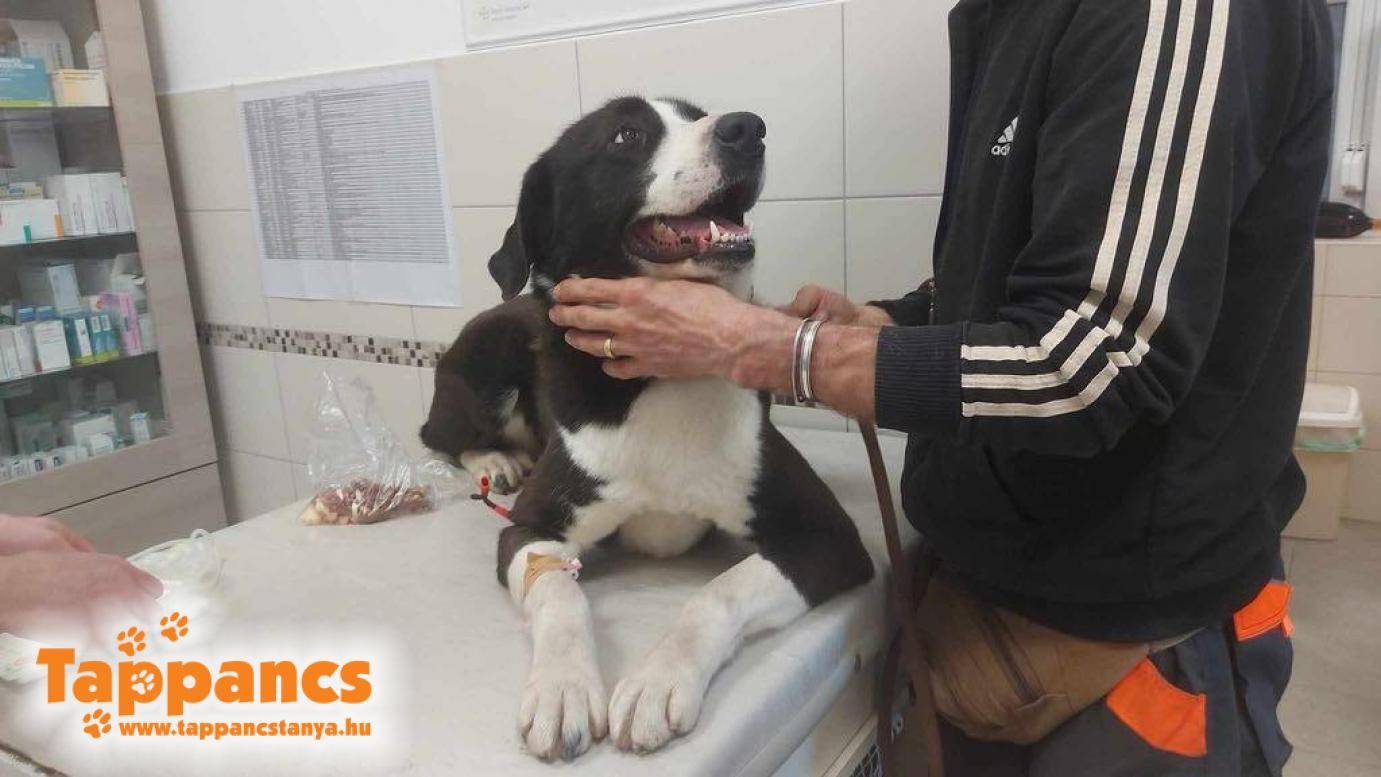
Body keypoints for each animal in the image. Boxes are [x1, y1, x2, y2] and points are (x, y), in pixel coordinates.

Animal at [420, 96, 873, 760]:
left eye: (697, 112)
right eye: (627, 135)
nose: (748, 128)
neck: (662, 379)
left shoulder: (827, 538)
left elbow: (715, 594)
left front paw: (657, 680)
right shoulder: (529, 528)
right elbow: (558, 593)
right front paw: (561, 688)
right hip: (489, 356)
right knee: (438, 436)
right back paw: (495, 460)